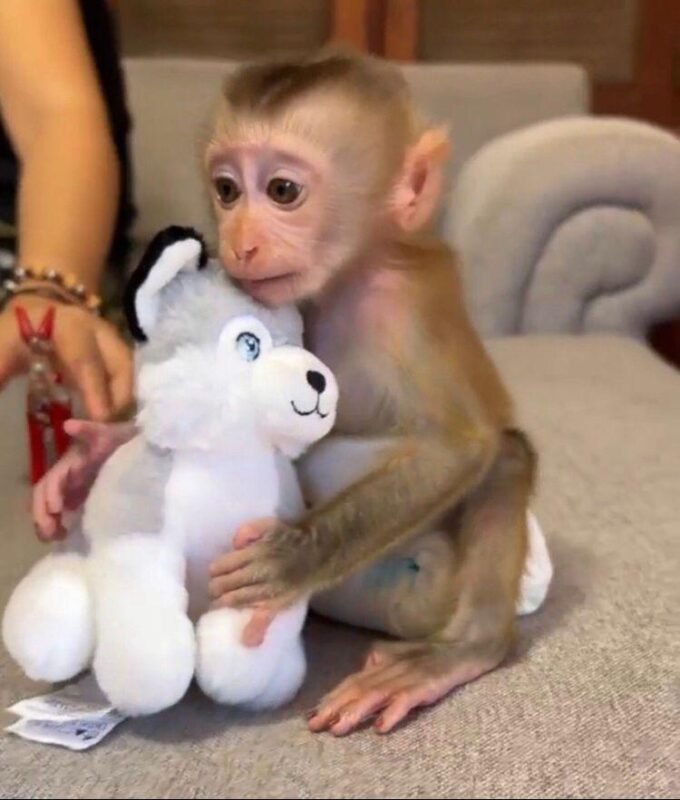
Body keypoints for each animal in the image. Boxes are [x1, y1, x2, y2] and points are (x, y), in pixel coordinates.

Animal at [33, 48, 538, 736]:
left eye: (282, 191)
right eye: (226, 190)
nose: (239, 242)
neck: (347, 275)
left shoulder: (401, 310)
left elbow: (460, 448)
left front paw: (290, 558)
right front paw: (84, 458)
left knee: (506, 456)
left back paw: (463, 650)